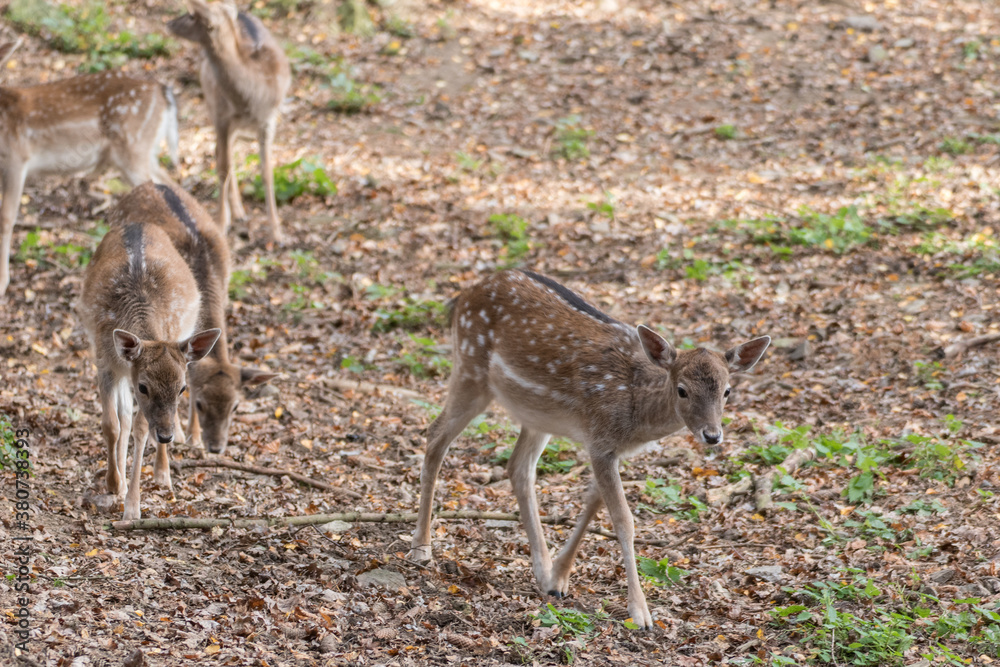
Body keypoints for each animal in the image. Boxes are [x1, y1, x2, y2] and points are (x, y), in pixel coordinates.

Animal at [0, 38, 179, 298]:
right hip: (142, 152)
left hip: (133, 148)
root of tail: (162, 90)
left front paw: (2, 282)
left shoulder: (17, 157)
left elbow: (6, 217)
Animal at [81, 182, 277, 519]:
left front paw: (132, 506)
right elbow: (111, 424)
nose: (167, 436)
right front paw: (112, 483)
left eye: (183, 389)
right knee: (124, 415)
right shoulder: (105, 363)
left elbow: (139, 428)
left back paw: (162, 472)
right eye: (144, 386)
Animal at [167, 0, 292, 244]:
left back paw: (240, 211)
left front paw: (277, 233)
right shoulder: (222, 117)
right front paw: (220, 223)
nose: (168, 23)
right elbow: (222, 167)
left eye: (191, 15)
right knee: (222, 154)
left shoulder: (268, 122)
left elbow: (267, 172)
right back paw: (236, 212)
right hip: (211, 106)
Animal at [408, 269, 771, 629]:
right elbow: (623, 520)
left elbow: (593, 502)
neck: (637, 414)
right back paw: (421, 549)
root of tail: (464, 295)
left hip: (536, 414)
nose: (712, 435)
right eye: (682, 390)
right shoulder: (600, 440)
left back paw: (541, 568)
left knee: (518, 467)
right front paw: (640, 613)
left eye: (727, 391)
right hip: (470, 369)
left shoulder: (608, 447)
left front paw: (558, 579)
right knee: (435, 435)